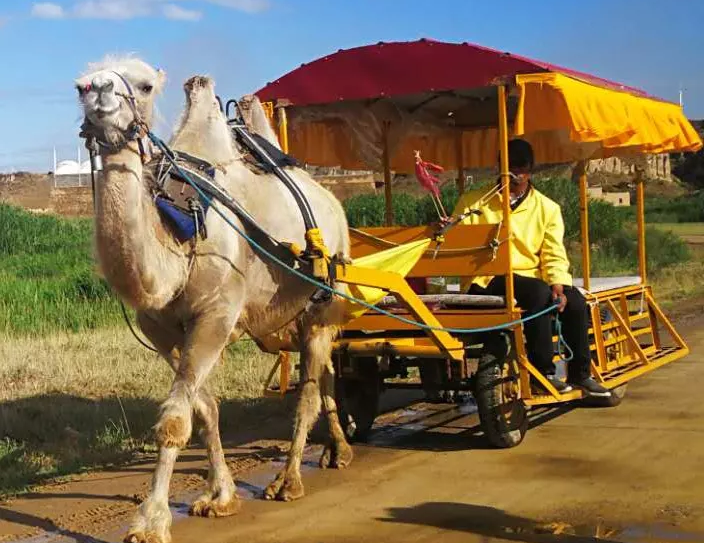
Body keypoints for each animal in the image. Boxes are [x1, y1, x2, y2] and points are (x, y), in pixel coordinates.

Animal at [73, 58, 352, 543]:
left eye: (144, 85)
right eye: (80, 86)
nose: (98, 90)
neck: (177, 236)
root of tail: (332, 203)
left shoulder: (216, 316)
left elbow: (174, 421)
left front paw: (149, 522)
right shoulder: (161, 329)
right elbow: (204, 410)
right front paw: (220, 497)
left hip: (324, 301)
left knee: (308, 390)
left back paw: (289, 480)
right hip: (299, 314)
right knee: (326, 376)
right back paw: (338, 450)